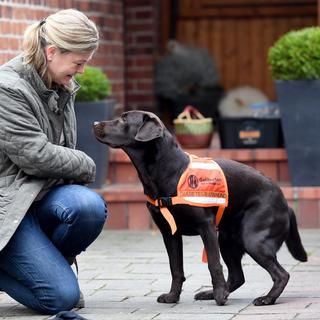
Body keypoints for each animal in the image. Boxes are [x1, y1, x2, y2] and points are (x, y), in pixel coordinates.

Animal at [92, 111, 308, 306]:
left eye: (124, 119)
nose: (94, 123)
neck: (169, 171)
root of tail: (286, 204)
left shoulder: (206, 227)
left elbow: (213, 264)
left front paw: (220, 296)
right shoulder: (169, 233)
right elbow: (175, 268)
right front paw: (173, 297)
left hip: (253, 239)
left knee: (282, 274)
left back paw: (266, 298)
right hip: (227, 240)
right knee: (238, 276)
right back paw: (211, 293)